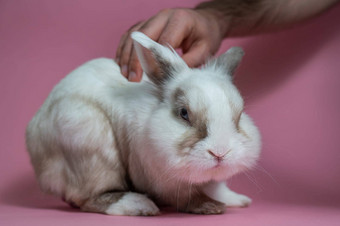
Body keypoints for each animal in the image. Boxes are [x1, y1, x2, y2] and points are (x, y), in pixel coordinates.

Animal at [25, 31, 260, 215]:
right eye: (184, 113)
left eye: (239, 115)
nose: (220, 153)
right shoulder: (165, 180)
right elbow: (186, 197)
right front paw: (210, 207)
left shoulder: (209, 180)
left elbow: (216, 187)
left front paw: (236, 200)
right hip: (89, 146)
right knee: (88, 198)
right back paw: (139, 205)